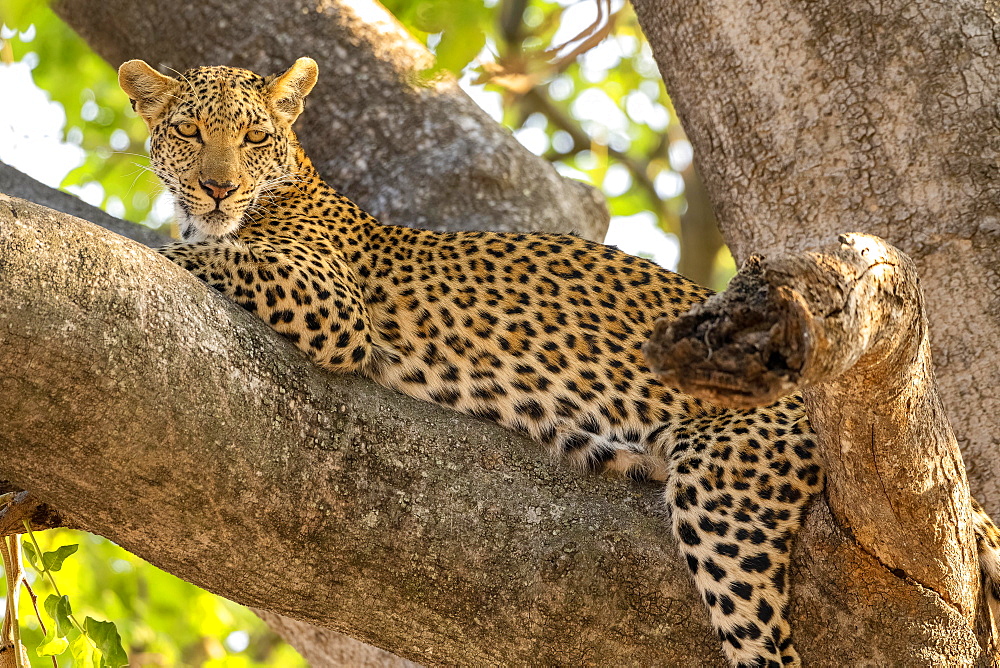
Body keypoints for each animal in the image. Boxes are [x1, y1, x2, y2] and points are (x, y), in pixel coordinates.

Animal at [119, 58, 1000, 668]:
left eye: (254, 136)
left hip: (729, 498)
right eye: (190, 133)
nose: (217, 187)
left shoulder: (331, 304)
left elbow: (209, 257)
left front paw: (146, 242)